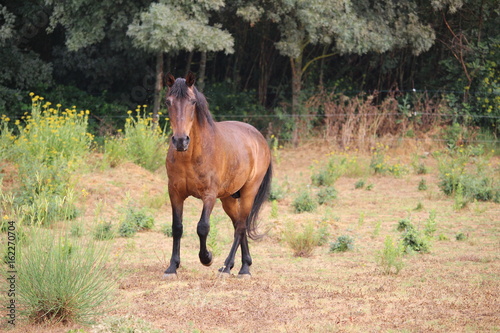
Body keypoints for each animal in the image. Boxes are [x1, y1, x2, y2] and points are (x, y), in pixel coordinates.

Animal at [163, 72, 274, 278]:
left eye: (192, 102)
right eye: (168, 101)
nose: (181, 141)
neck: (190, 155)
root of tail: (259, 137)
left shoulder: (209, 195)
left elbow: (202, 227)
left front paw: (206, 257)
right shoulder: (175, 193)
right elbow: (177, 227)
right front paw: (172, 267)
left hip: (249, 192)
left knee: (240, 227)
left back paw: (228, 266)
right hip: (228, 199)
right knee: (239, 224)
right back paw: (244, 266)